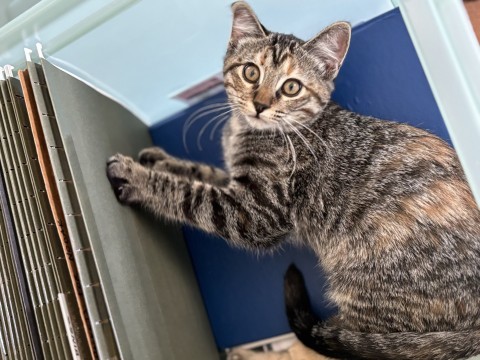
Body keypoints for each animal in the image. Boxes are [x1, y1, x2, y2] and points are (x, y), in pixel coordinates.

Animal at [107, 2, 480, 360]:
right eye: (251, 72)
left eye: (290, 87)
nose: (259, 104)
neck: (249, 131)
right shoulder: (235, 179)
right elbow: (203, 174)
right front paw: (160, 161)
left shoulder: (256, 212)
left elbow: (190, 195)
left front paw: (137, 177)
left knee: (343, 343)